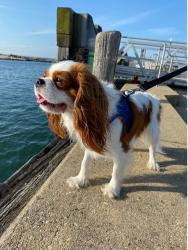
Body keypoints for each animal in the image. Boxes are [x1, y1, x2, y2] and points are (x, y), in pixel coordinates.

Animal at [35, 60, 162, 197]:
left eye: (59, 80)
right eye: (44, 75)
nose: (38, 81)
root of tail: (153, 97)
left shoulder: (121, 147)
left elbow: (116, 169)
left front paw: (112, 189)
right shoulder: (90, 136)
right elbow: (85, 161)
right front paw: (80, 179)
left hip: (152, 131)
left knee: (152, 147)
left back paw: (153, 163)